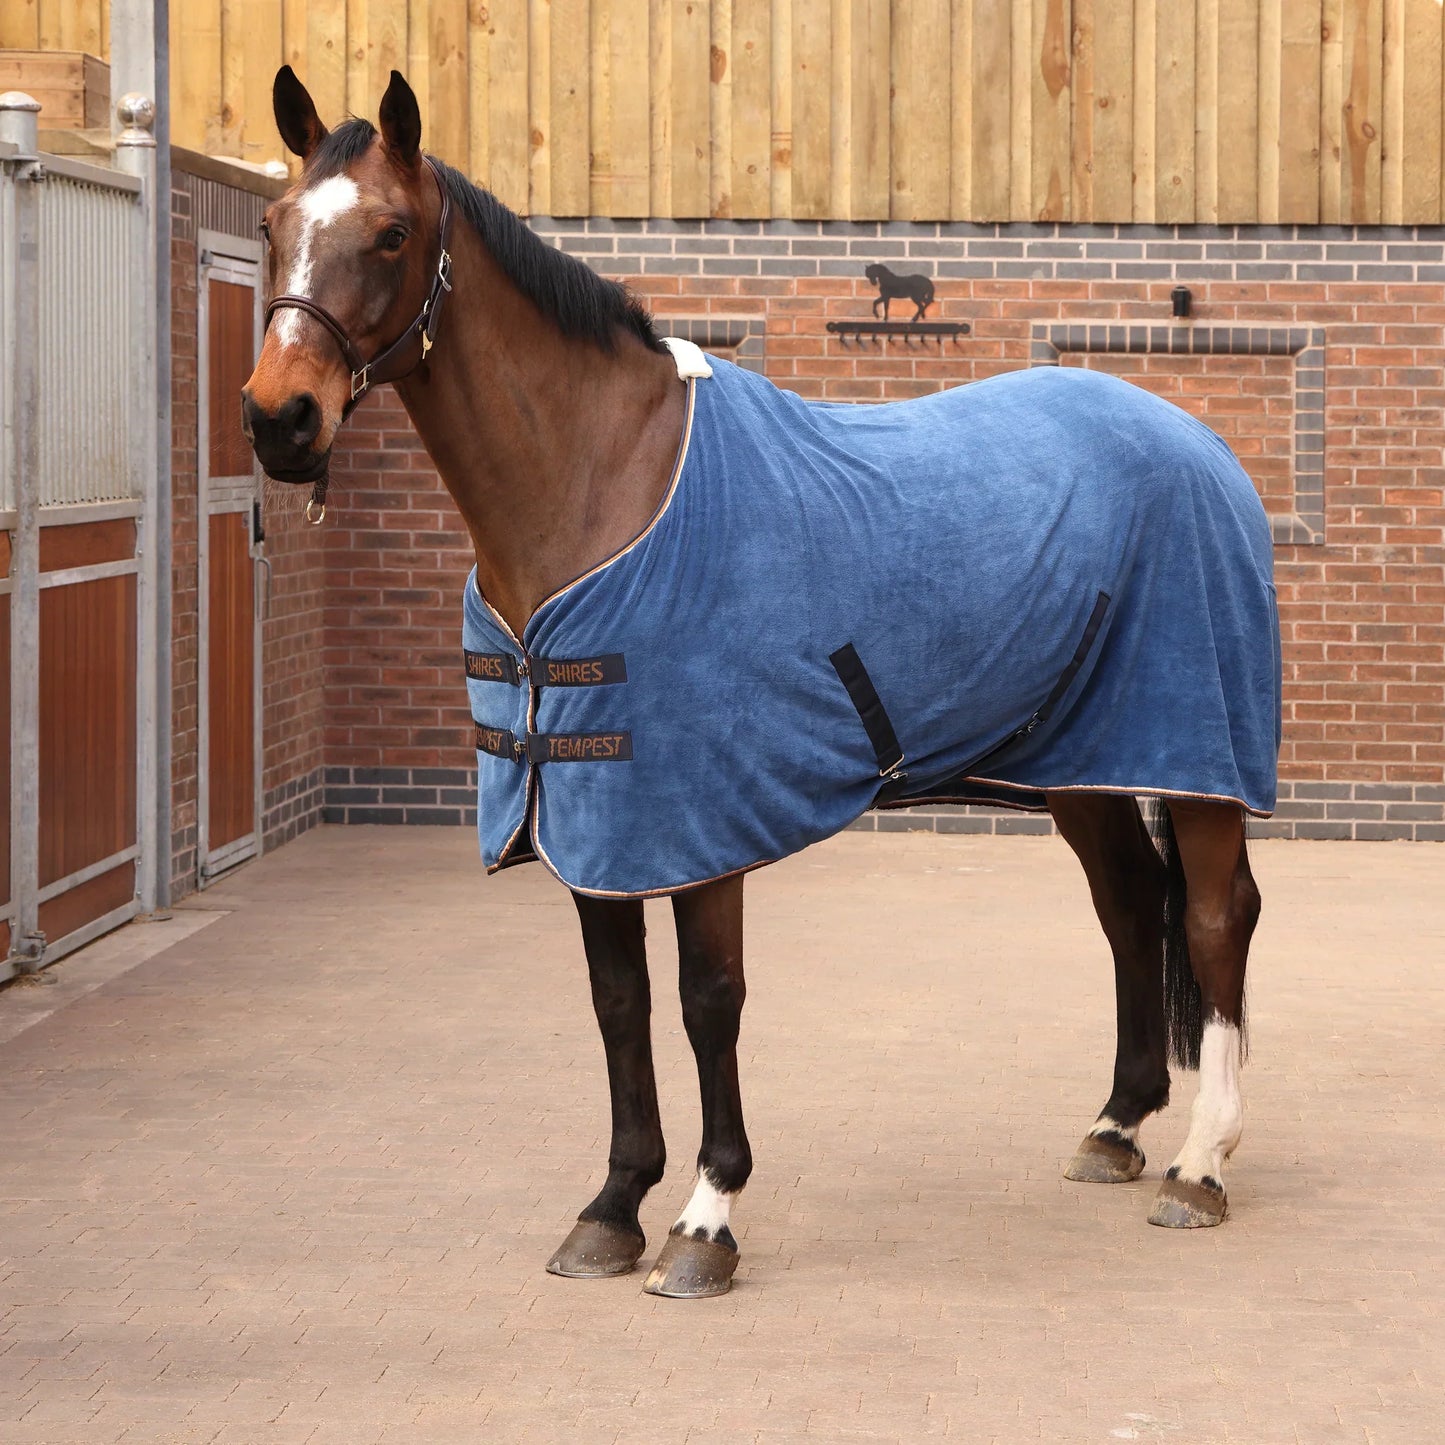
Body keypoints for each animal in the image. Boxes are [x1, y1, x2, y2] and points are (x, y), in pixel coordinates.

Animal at [242, 67, 1276, 1300]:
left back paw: (1201, 1161)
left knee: (1213, 917)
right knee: (1128, 907)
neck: (603, 484)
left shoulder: (698, 816)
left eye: (391, 233)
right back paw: (1116, 1126)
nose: (279, 419)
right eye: (273, 225)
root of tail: (1197, 444)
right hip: (1086, 759)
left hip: (1196, 753)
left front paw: (704, 1217)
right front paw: (610, 1207)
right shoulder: (592, 808)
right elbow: (618, 1000)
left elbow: (707, 999)